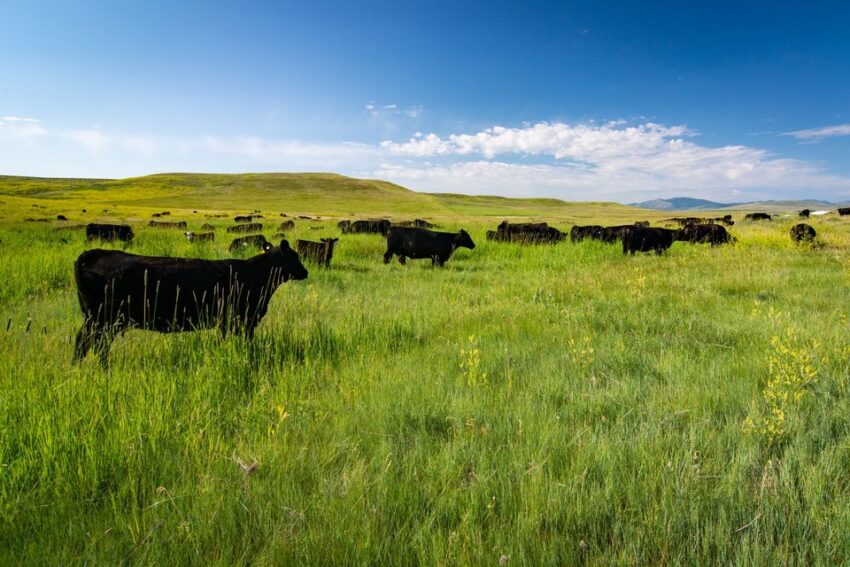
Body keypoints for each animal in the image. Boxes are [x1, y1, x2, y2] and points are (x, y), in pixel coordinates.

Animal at [71, 239, 306, 364]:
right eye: (295, 257)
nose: (306, 272)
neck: (255, 274)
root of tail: (95, 253)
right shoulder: (243, 319)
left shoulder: (227, 321)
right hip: (101, 318)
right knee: (88, 341)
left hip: (102, 320)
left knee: (93, 343)